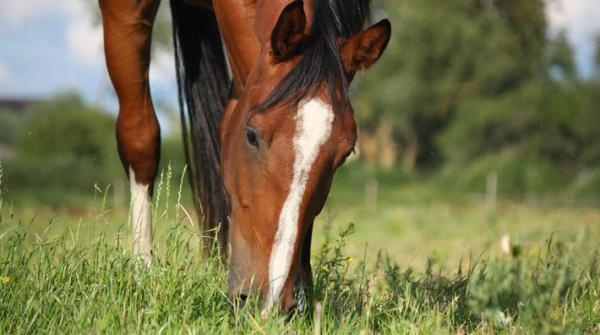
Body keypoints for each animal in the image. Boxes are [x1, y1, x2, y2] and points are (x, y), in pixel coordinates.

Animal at [99, 0, 390, 316]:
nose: (268, 302)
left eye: (345, 153)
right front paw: (142, 274)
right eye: (251, 135)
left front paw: (303, 296)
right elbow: (140, 138)